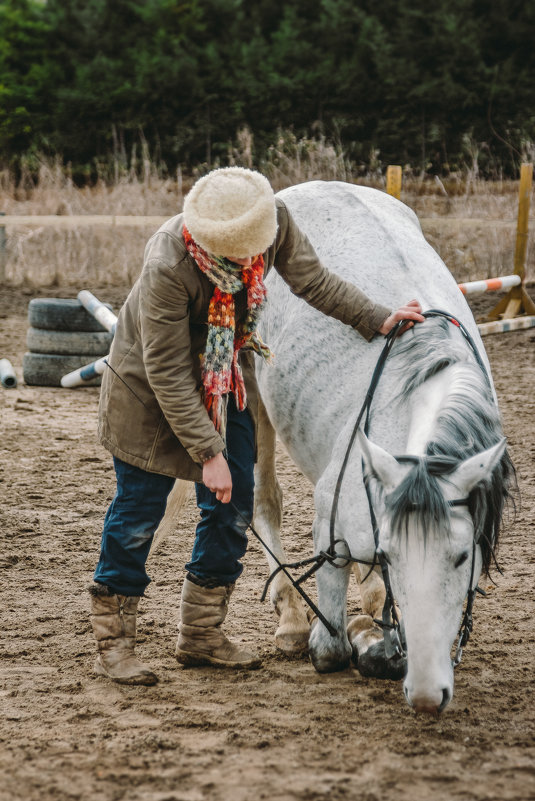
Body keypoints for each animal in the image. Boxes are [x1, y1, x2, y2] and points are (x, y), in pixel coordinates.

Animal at [255, 181, 516, 712]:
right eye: (394, 555)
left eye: (462, 557)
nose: (427, 695)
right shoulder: (329, 532)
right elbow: (333, 648)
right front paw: (356, 634)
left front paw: (375, 628)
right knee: (264, 498)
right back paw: (290, 617)